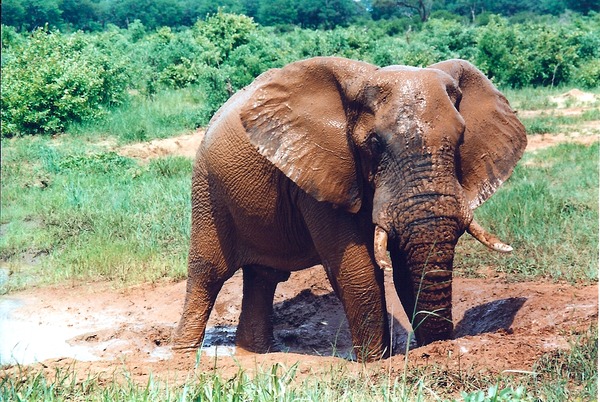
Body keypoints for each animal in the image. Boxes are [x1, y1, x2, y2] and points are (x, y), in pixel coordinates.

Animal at [172, 55, 524, 362]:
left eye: (462, 138)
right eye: (375, 144)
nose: (439, 349)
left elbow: (406, 268)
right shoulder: (323, 166)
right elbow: (358, 269)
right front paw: (374, 363)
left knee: (264, 276)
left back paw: (257, 354)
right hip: (207, 187)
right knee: (208, 272)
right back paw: (184, 359)